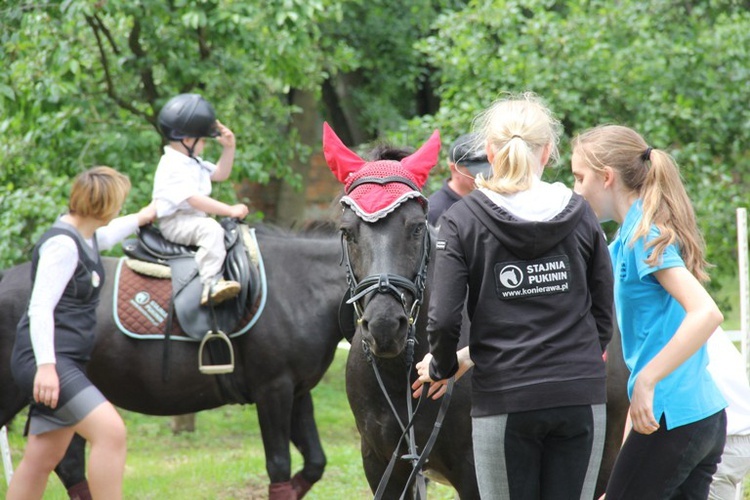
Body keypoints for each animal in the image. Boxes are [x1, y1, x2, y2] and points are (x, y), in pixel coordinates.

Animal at [0, 227, 346, 500]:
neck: (300, 290)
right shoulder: (273, 390)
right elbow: (279, 466)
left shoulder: (297, 391)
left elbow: (315, 462)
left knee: (69, 465)